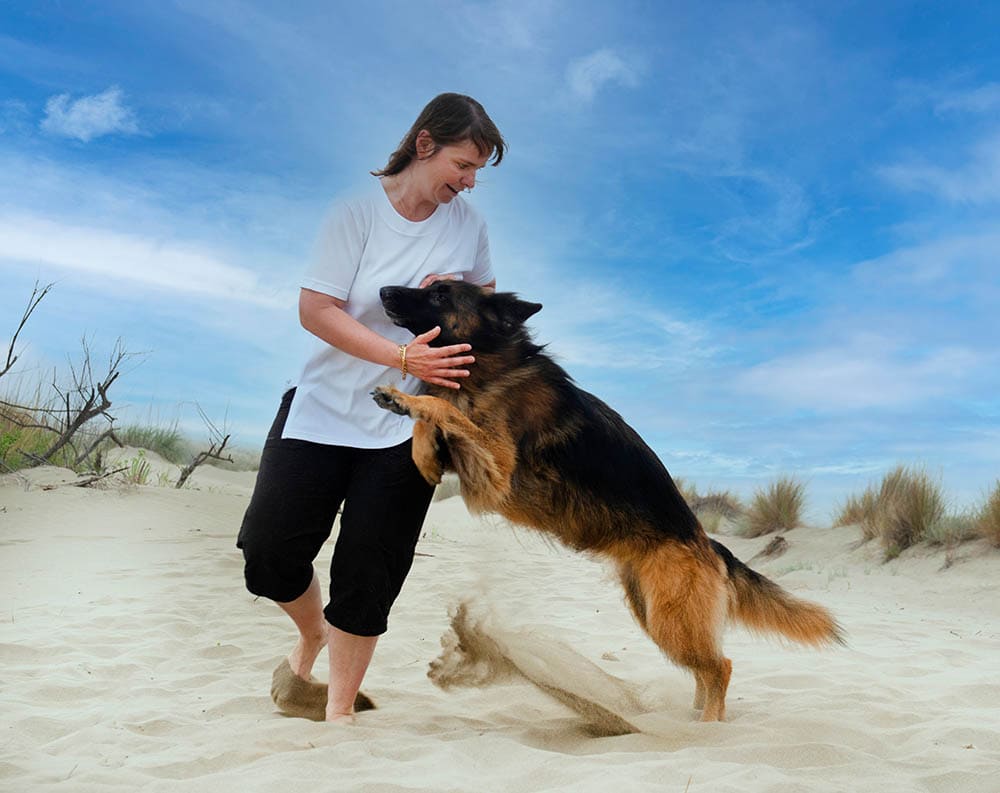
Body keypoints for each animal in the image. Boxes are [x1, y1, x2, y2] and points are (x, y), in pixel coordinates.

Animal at [376, 282, 844, 720]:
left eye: (440, 294)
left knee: (720, 667)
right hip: (652, 613)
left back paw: (708, 725)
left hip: (671, 620)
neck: (491, 363)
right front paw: (422, 451)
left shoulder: (496, 468)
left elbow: (442, 407)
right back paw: (694, 717)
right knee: (704, 670)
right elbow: (435, 419)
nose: (382, 290)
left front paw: (405, 399)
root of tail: (710, 544)